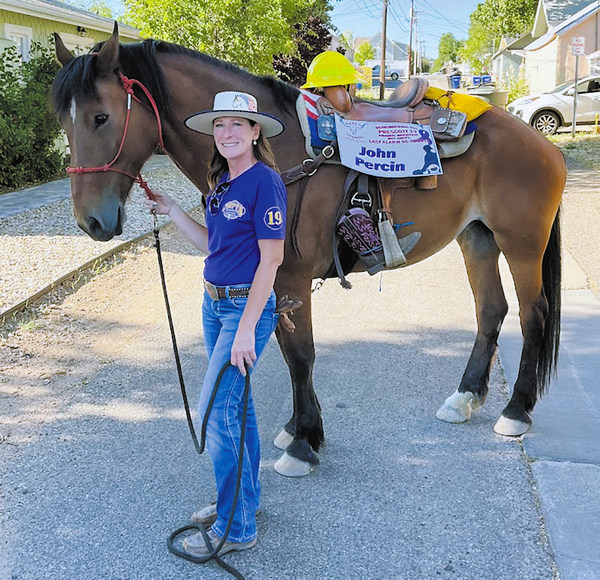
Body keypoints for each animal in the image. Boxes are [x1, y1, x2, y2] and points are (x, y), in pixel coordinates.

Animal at [51, 25, 565, 477]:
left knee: (532, 314)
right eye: (64, 123)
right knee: (491, 311)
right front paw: (301, 428)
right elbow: (286, 350)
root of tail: (538, 140)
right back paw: (465, 397)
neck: (275, 150)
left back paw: (516, 411)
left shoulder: (292, 278)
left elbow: (300, 356)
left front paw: (302, 444)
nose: (90, 222)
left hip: (520, 244)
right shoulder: (276, 283)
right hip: (476, 238)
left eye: (101, 116)